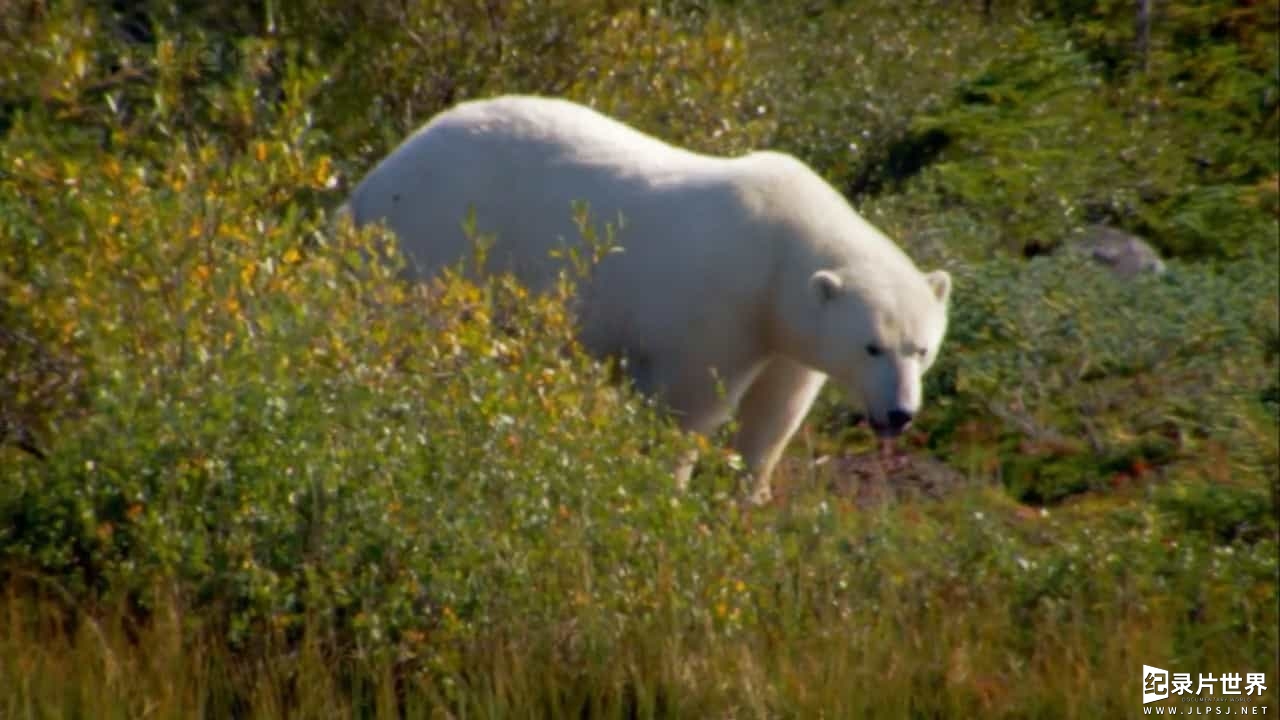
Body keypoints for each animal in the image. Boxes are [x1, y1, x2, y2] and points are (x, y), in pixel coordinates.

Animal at [350, 94, 952, 499]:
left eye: (921, 349)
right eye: (872, 346)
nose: (899, 414)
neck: (782, 244)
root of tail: (371, 185)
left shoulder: (785, 330)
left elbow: (776, 411)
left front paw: (751, 495)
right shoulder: (719, 304)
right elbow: (688, 405)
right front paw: (671, 485)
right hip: (437, 236)